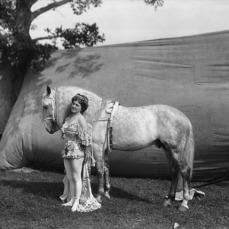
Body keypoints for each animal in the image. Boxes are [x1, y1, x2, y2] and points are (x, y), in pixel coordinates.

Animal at [42, 85, 194, 211]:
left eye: (44, 106)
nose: (48, 129)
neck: (96, 113)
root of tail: (183, 117)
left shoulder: (97, 148)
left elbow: (100, 170)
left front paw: (99, 196)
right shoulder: (104, 150)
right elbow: (107, 168)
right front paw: (107, 192)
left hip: (176, 151)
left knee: (184, 171)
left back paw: (184, 203)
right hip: (168, 150)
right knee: (174, 172)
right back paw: (168, 200)